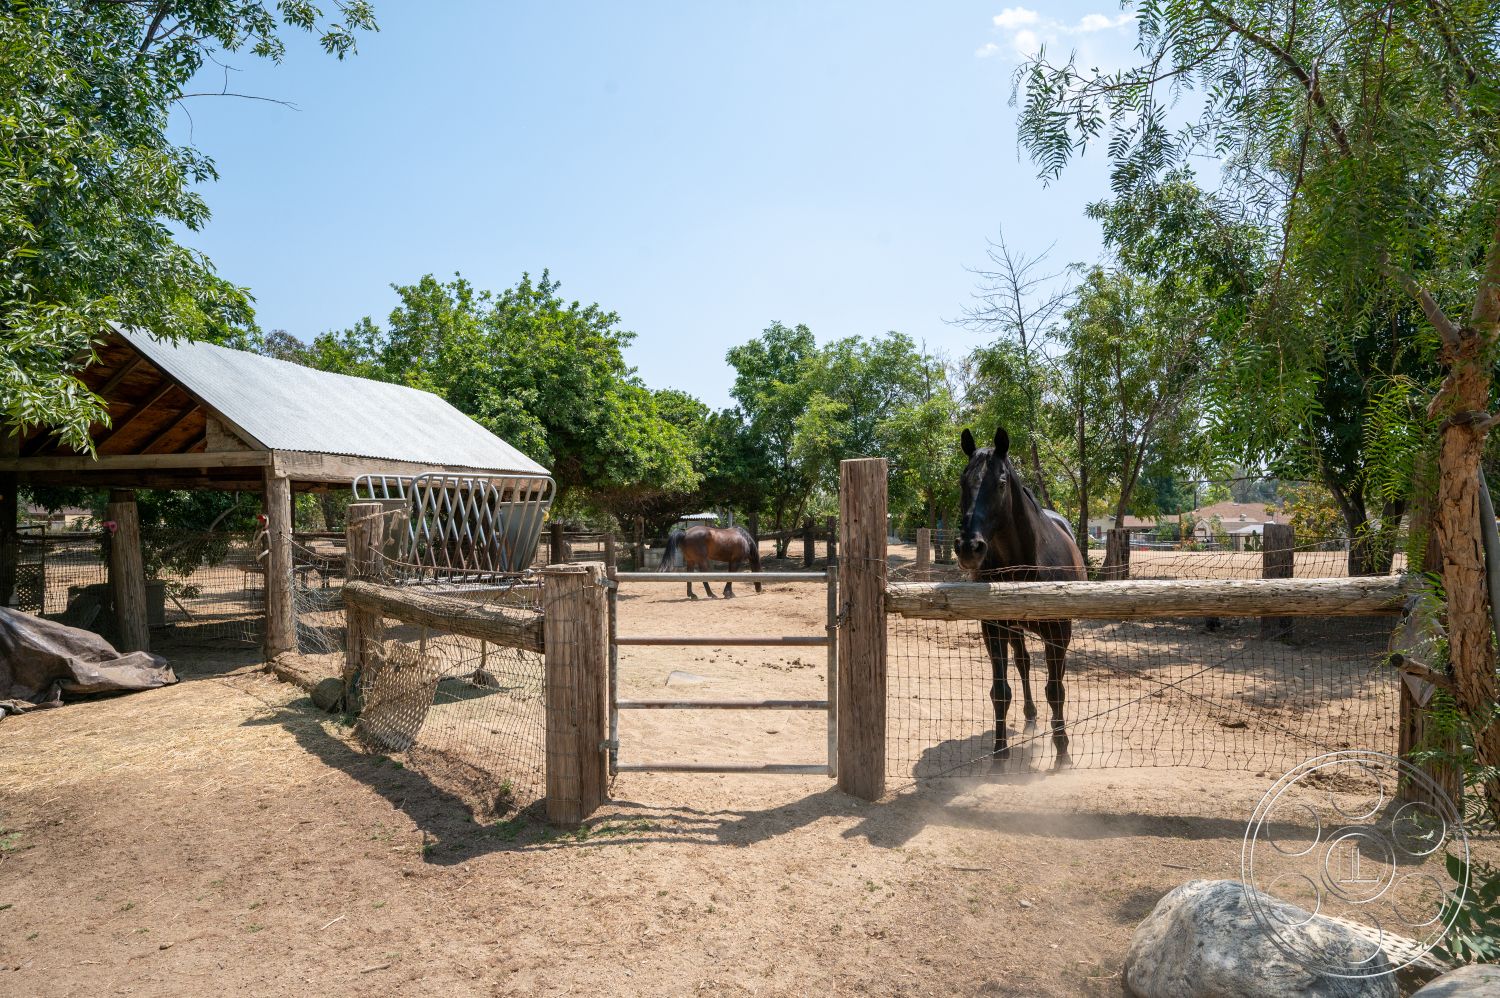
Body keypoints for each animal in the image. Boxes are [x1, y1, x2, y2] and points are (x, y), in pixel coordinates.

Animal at [957, 426, 1086, 767]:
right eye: (962, 481)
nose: (968, 547)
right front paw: (999, 754)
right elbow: (1001, 691)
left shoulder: (1058, 630)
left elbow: (1056, 690)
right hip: (1015, 630)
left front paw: (1062, 753)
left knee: (1053, 675)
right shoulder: (994, 628)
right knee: (1024, 664)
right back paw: (1030, 717)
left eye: (1001, 483)